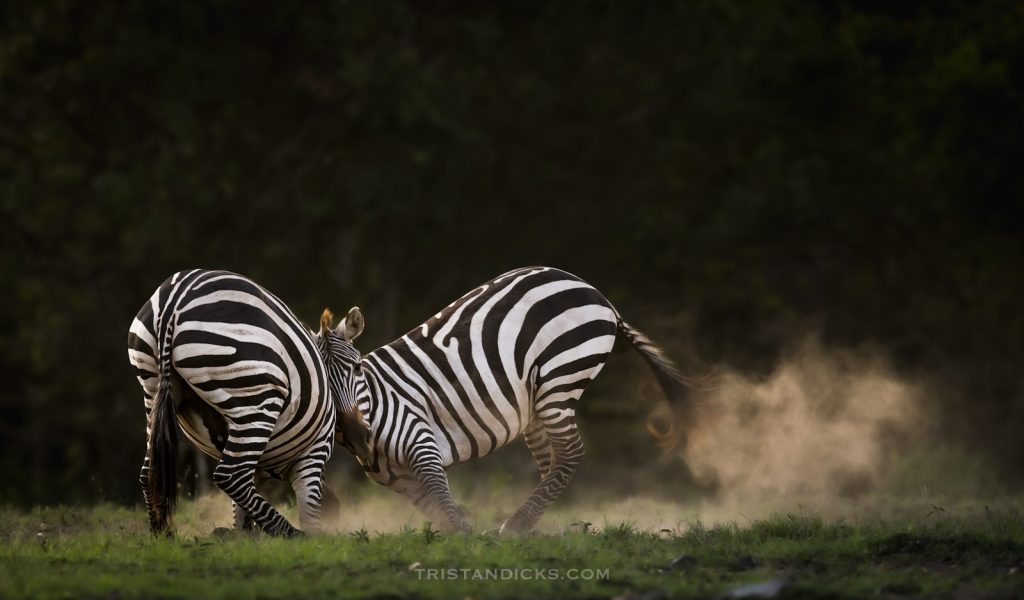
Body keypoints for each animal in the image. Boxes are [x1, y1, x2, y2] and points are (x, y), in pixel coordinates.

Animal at [127, 269, 369, 537]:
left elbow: (242, 511)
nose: (361, 438)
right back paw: (292, 534)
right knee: (232, 477)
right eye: (359, 367)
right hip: (255, 396)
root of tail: (174, 299)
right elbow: (309, 508)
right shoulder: (315, 450)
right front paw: (313, 537)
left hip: (151, 388)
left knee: (149, 474)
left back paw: (163, 537)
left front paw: (243, 538)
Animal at [318, 266, 698, 533]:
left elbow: (445, 504)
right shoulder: (403, 481)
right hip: (536, 402)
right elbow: (440, 510)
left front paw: (467, 539)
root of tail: (593, 291)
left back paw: (515, 526)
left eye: (356, 369)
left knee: (570, 454)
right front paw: (463, 531)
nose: (358, 436)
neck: (378, 400)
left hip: (560, 377)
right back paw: (530, 525)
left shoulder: (422, 444)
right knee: (552, 461)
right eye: (321, 378)